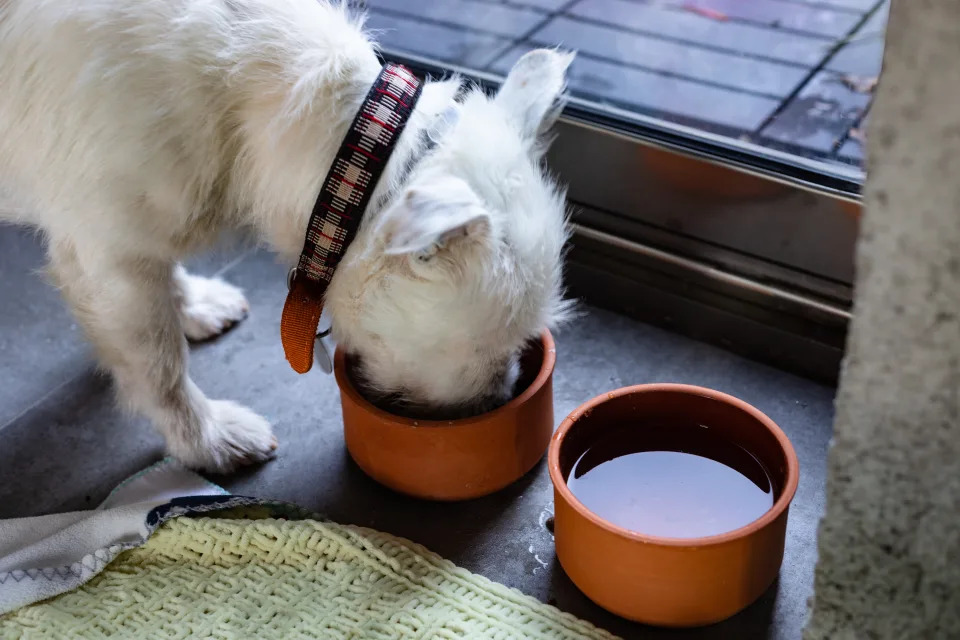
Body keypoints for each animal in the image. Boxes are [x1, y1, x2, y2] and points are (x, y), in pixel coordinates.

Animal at [0, 0, 568, 470]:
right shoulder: (110, 255)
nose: (498, 401)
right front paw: (206, 439)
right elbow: (159, 363)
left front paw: (191, 304)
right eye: (485, 348)